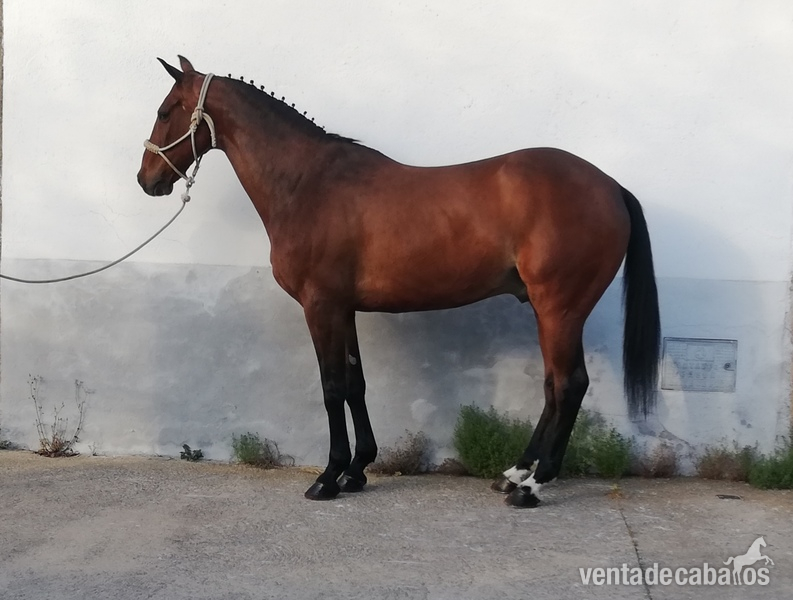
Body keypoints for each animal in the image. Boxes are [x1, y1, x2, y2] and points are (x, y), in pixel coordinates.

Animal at [137, 56, 660, 508]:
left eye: (165, 112)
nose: (146, 180)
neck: (307, 183)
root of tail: (610, 186)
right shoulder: (342, 308)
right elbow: (355, 383)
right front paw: (357, 471)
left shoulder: (320, 306)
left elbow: (331, 386)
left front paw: (328, 477)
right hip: (548, 310)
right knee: (554, 388)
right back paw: (514, 474)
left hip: (559, 309)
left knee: (569, 386)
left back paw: (532, 486)